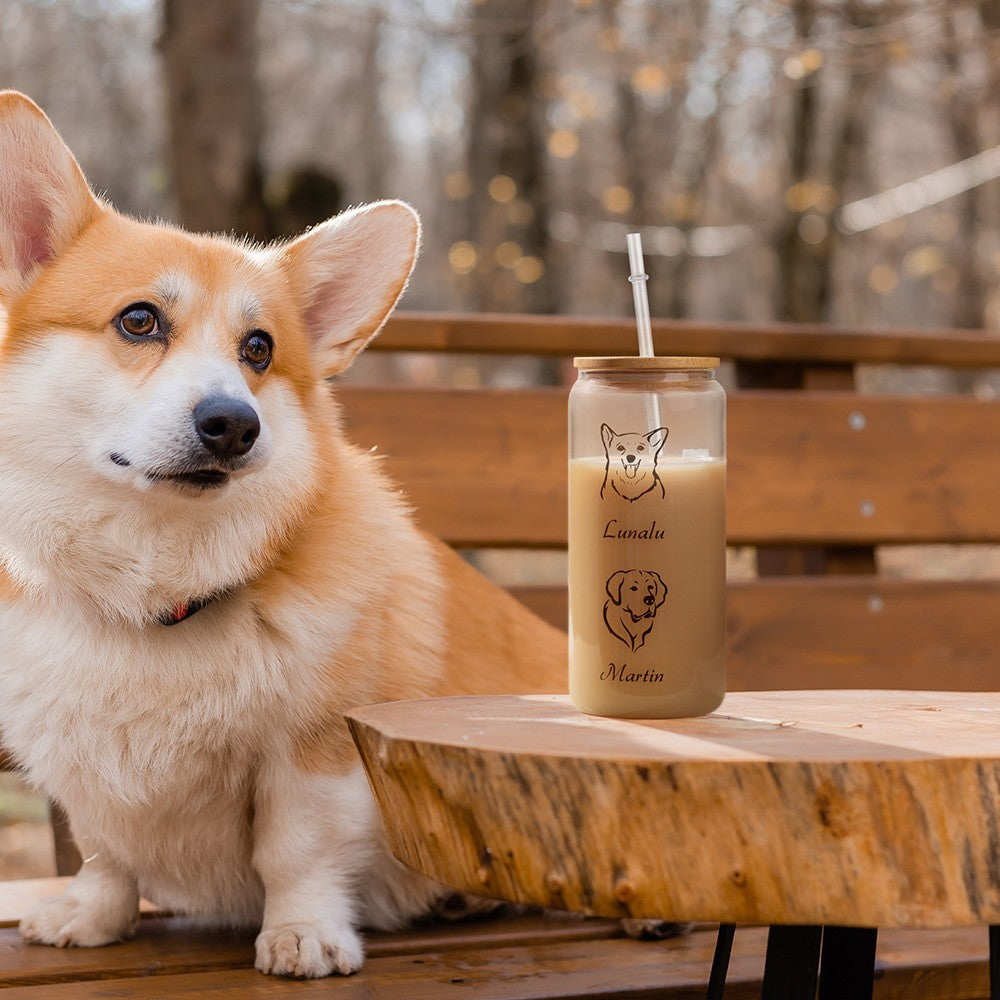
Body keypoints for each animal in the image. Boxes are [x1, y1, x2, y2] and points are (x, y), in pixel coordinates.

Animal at [0, 92, 572, 976]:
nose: (234, 424)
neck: (157, 590)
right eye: (139, 321)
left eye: (259, 349)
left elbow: (295, 852)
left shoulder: (314, 754)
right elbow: (104, 854)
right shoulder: (82, 773)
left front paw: (302, 935)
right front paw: (92, 918)